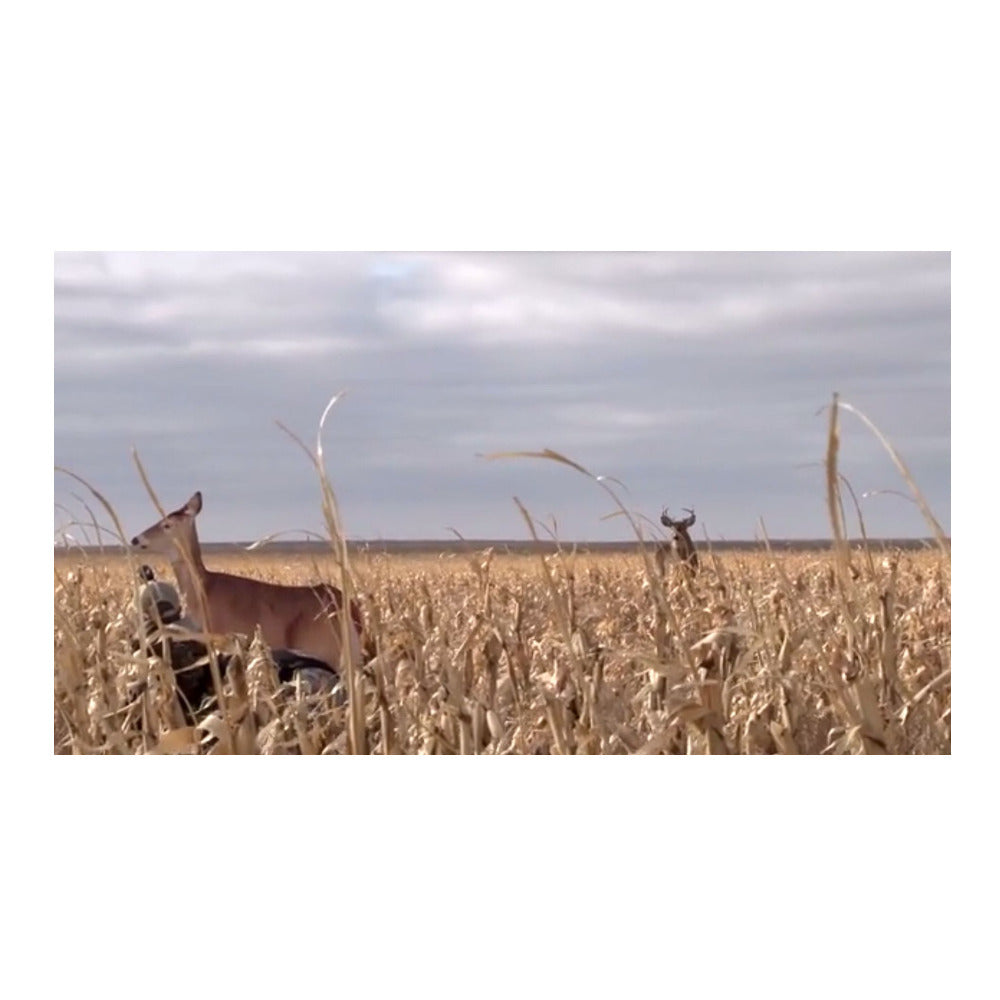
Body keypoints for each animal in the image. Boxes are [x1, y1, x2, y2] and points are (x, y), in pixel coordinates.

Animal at [130, 491, 365, 670]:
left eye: (167, 524)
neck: (204, 589)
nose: (135, 539)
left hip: (326, 650)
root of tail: (351, 609)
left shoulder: (222, 635)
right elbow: (165, 630)